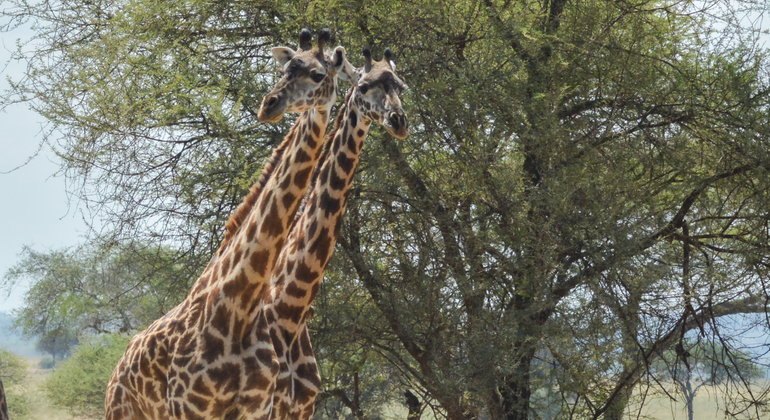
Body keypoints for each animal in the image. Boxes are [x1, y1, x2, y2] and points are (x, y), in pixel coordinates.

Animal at [103, 29, 356, 420]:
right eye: (285, 69)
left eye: (317, 75)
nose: (269, 104)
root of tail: (119, 365)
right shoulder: (192, 408)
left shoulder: (270, 408)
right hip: (122, 412)